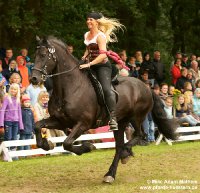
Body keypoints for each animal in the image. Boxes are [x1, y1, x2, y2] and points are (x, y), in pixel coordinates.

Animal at [31, 36, 178, 184]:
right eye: (34, 55)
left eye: (43, 55)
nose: (33, 78)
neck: (70, 88)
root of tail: (146, 87)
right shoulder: (60, 121)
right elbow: (37, 126)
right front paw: (47, 144)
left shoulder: (83, 123)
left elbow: (67, 143)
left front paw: (88, 147)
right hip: (121, 122)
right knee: (120, 145)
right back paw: (111, 173)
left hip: (136, 117)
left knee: (139, 136)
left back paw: (125, 154)